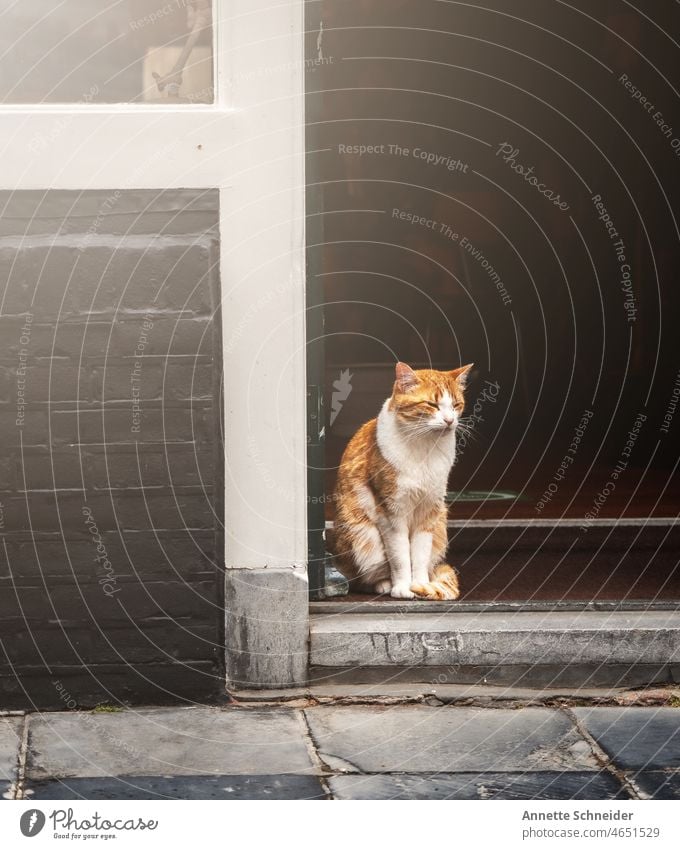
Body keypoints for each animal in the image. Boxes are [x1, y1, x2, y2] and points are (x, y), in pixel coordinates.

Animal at [330, 362, 472, 600]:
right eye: (432, 404)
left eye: (456, 405)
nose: (450, 420)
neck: (425, 447)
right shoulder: (391, 513)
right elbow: (400, 556)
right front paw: (403, 587)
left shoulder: (429, 510)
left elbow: (420, 554)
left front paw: (421, 584)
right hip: (361, 534)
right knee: (361, 577)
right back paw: (383, 584)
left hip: (440, 524)